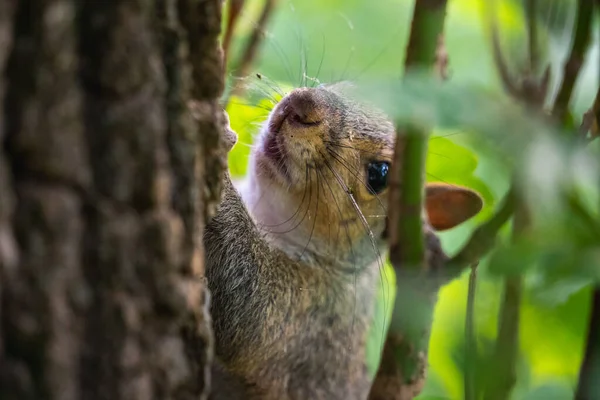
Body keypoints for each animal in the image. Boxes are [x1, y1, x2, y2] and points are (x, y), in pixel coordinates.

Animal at [204, 83, 480, 398]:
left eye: (380, 175)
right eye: (347, 85)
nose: (303, 102)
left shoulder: (314, 314)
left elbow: (247, 310)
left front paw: (218, 144)